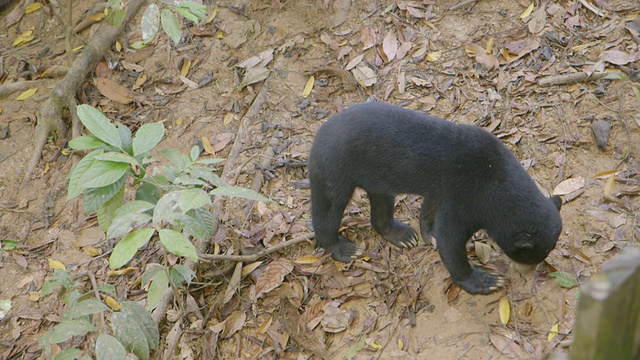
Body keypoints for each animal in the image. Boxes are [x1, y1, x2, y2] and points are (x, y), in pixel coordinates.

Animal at [308, 102, 564, 294]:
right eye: (527, 256)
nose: (527, 274)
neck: (496, 176)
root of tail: (319, 134)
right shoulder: (466, 196)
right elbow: (450, 239)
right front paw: (487, 281)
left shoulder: (445, 192)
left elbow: (431, 208)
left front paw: (427, 235)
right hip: (335, 166)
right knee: (329, 207)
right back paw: (344, 248)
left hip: (375, 176)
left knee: (381, 202)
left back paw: (403, 236)